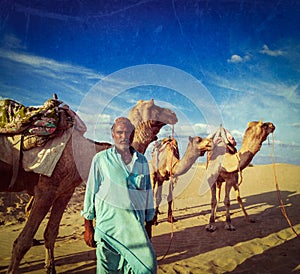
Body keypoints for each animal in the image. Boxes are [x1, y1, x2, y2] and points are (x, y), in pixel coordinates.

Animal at [0, 95, 177, 272]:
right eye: (155, 107)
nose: (173, 113)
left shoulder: (64, 192)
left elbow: (51, 233)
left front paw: (50, 268)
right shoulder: (46, 191)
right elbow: (22, 243)